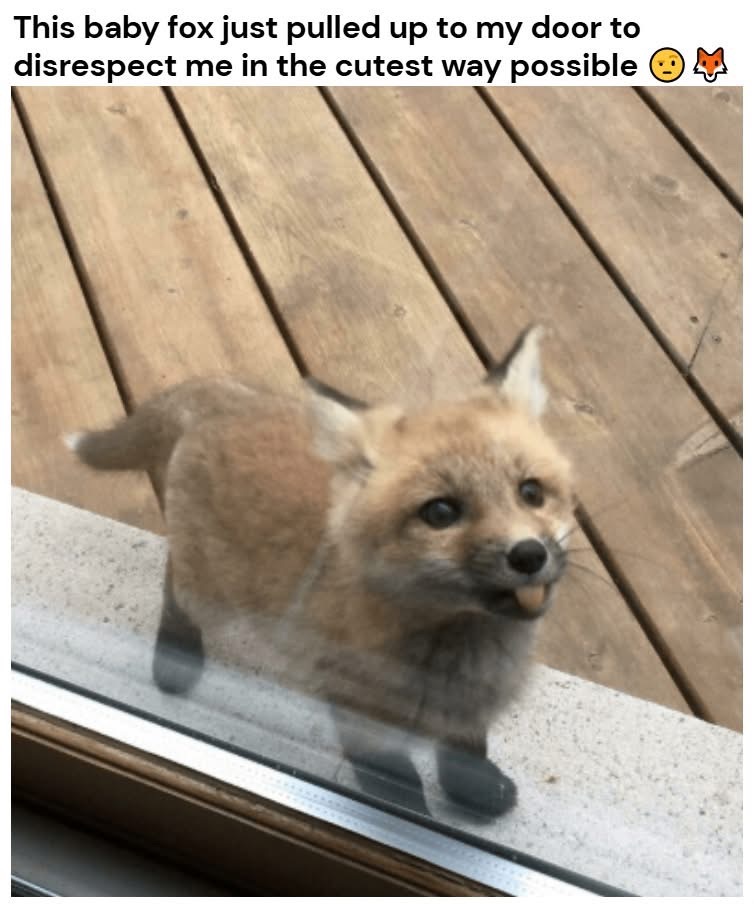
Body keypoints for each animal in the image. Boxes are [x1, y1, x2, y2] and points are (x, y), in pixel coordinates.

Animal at [68, 325, 575, 818]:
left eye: (531, 492)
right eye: (441, 512)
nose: (528, 555)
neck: (458, 655)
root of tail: (226, 400)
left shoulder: (469, 710)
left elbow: (465, 752)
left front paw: (475, 790)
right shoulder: (361, 718)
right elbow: (398, 790)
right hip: (211, 594)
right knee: (175, 587)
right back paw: (176, 655)